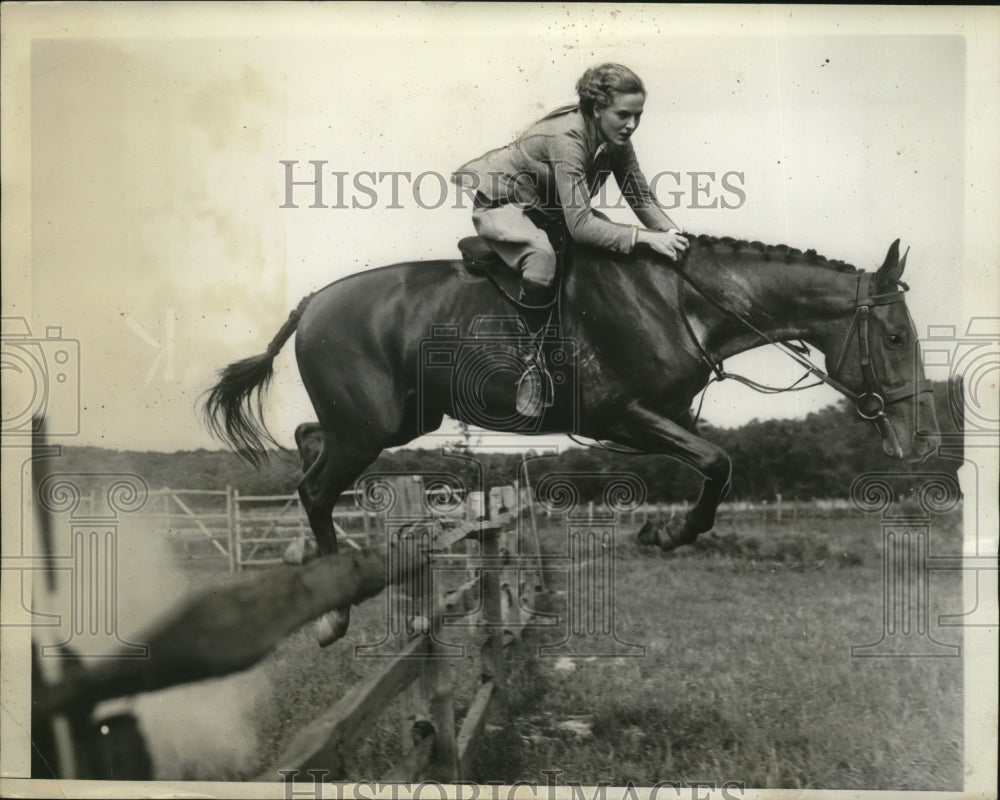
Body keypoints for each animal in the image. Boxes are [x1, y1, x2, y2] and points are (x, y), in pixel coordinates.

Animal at [203, 234, 936, 648]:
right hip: (370, 429)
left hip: (394, 422)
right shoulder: (622, 415)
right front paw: (665, 534)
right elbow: (718, 463)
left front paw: (665, 530)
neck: (684, 304)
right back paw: (331, 613)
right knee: (315, 488)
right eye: (897, 337)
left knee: (307, 441)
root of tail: (313, 302)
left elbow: (715, 466)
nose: (916, 439)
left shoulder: (666, 416)